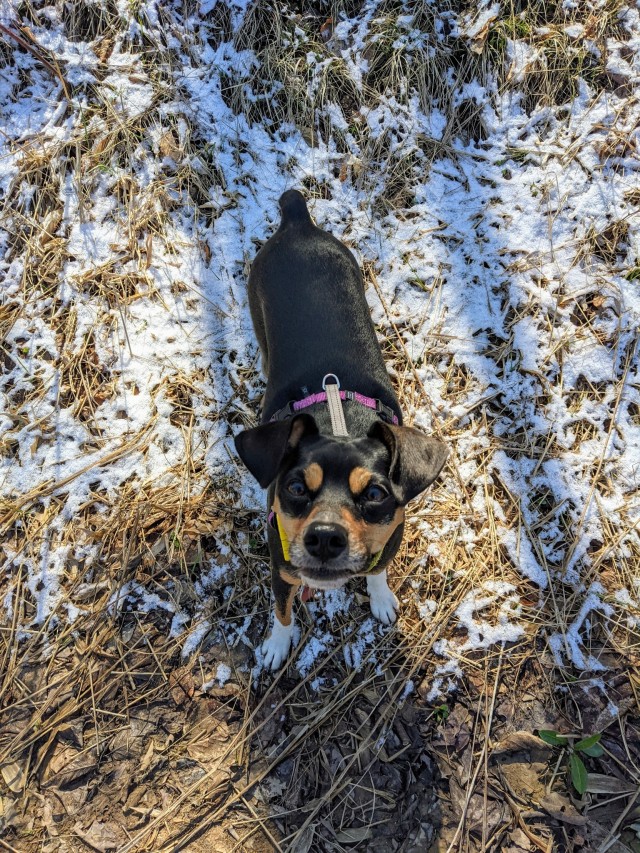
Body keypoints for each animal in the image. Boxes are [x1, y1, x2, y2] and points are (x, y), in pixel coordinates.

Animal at [232, 190, 448, 668]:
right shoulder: (280, 566)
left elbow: (379, 570)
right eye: (295, 487)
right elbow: (282, 610)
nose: (326, 538)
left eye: (375, 494)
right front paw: (278, 645)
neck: (340, 418)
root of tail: (298, 220)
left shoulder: (391, 537)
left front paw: (381, 599)